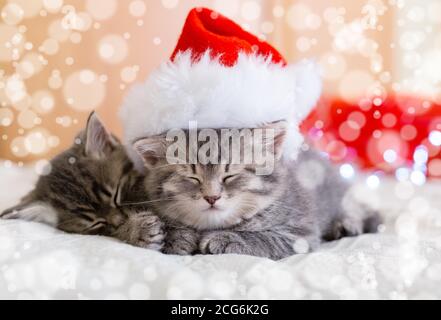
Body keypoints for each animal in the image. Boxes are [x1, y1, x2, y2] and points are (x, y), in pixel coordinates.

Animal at [134, 120, 378, 260]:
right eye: (192, 177)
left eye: (230, 175)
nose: (212, 197)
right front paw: (176, 236)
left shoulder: (301, 232)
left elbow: (265, 239)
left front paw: (227, 239)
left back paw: (347, 224)